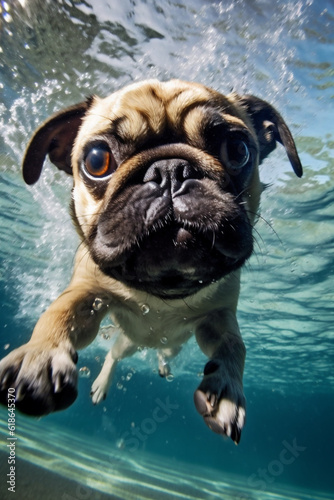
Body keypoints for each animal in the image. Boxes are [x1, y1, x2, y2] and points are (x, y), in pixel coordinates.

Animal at [0, 79, 302, 446]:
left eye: (238, 150)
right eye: (97, 160)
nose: (170, 170)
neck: (162, 288)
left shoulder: (220, 317)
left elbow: (235, 346)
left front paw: (227, 390)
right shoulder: (87, 292)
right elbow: (59, 313)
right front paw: (40, 355)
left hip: (172, 344)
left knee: (164, 351)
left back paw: (162, 365)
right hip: (127, 342)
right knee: (114, 355)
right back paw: (101, 384)